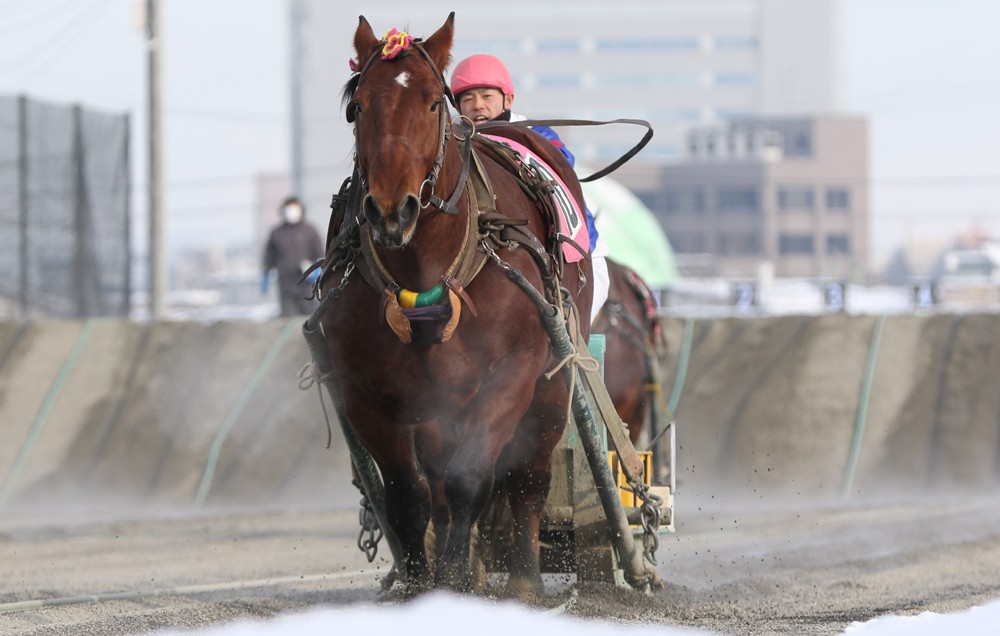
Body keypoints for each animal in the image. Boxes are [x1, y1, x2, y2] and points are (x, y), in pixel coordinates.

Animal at [318, 14, 592, 600]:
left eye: (429, 103)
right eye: (359, 107)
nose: (391, 211)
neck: (424, 270)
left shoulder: (510, 375)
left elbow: (472, 480)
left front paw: (453, 579)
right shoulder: (367, 394)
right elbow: (408, 493)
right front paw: (424, 583)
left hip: (551, 379)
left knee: (528, 476)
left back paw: (524, 578)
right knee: (437, 483)